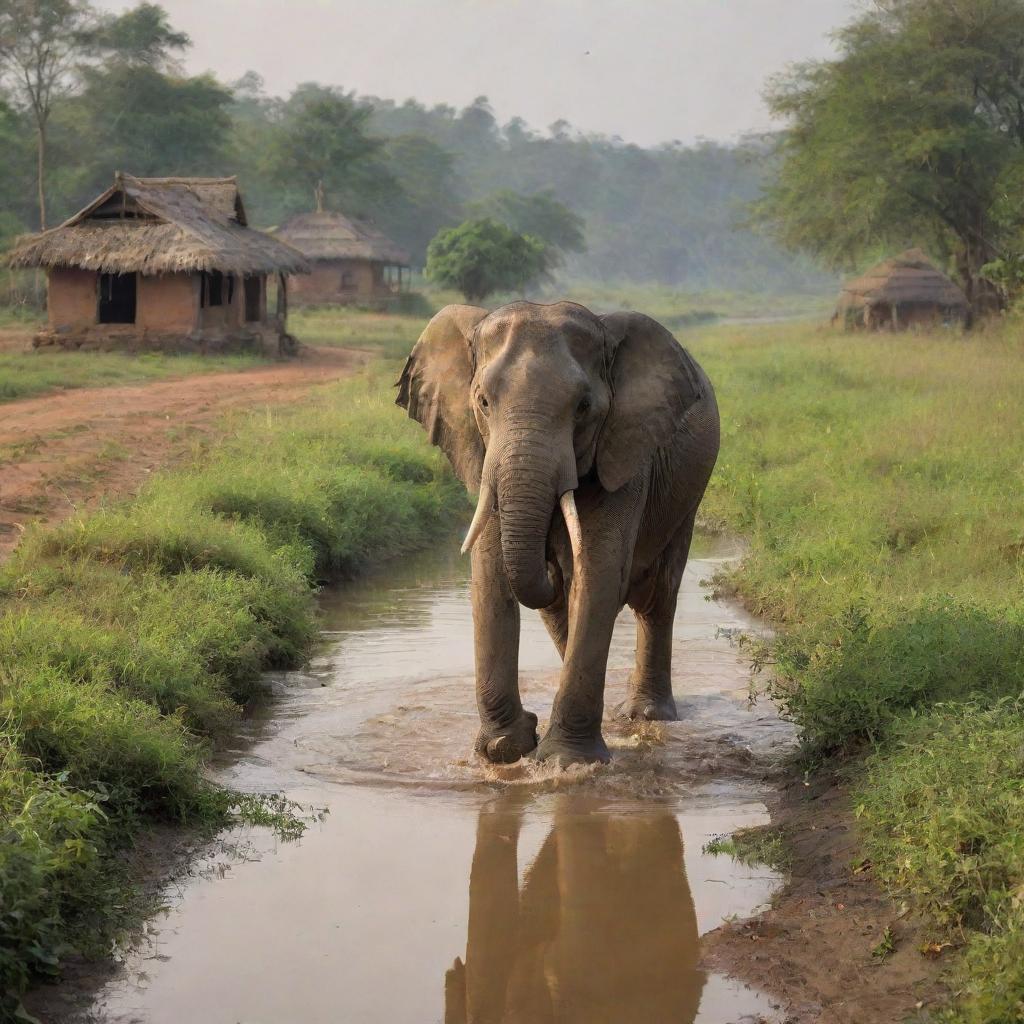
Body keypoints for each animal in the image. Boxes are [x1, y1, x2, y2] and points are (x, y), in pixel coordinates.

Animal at [395, 299, 716, 765]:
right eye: (483, 402)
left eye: (583, 407)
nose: (529, 721)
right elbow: (491, 575)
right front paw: (503, 750)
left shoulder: (625, 450)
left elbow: (598, 575)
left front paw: (566, 762)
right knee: (563, 609)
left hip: (685, 498)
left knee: (657, 597)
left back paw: (644, 716)